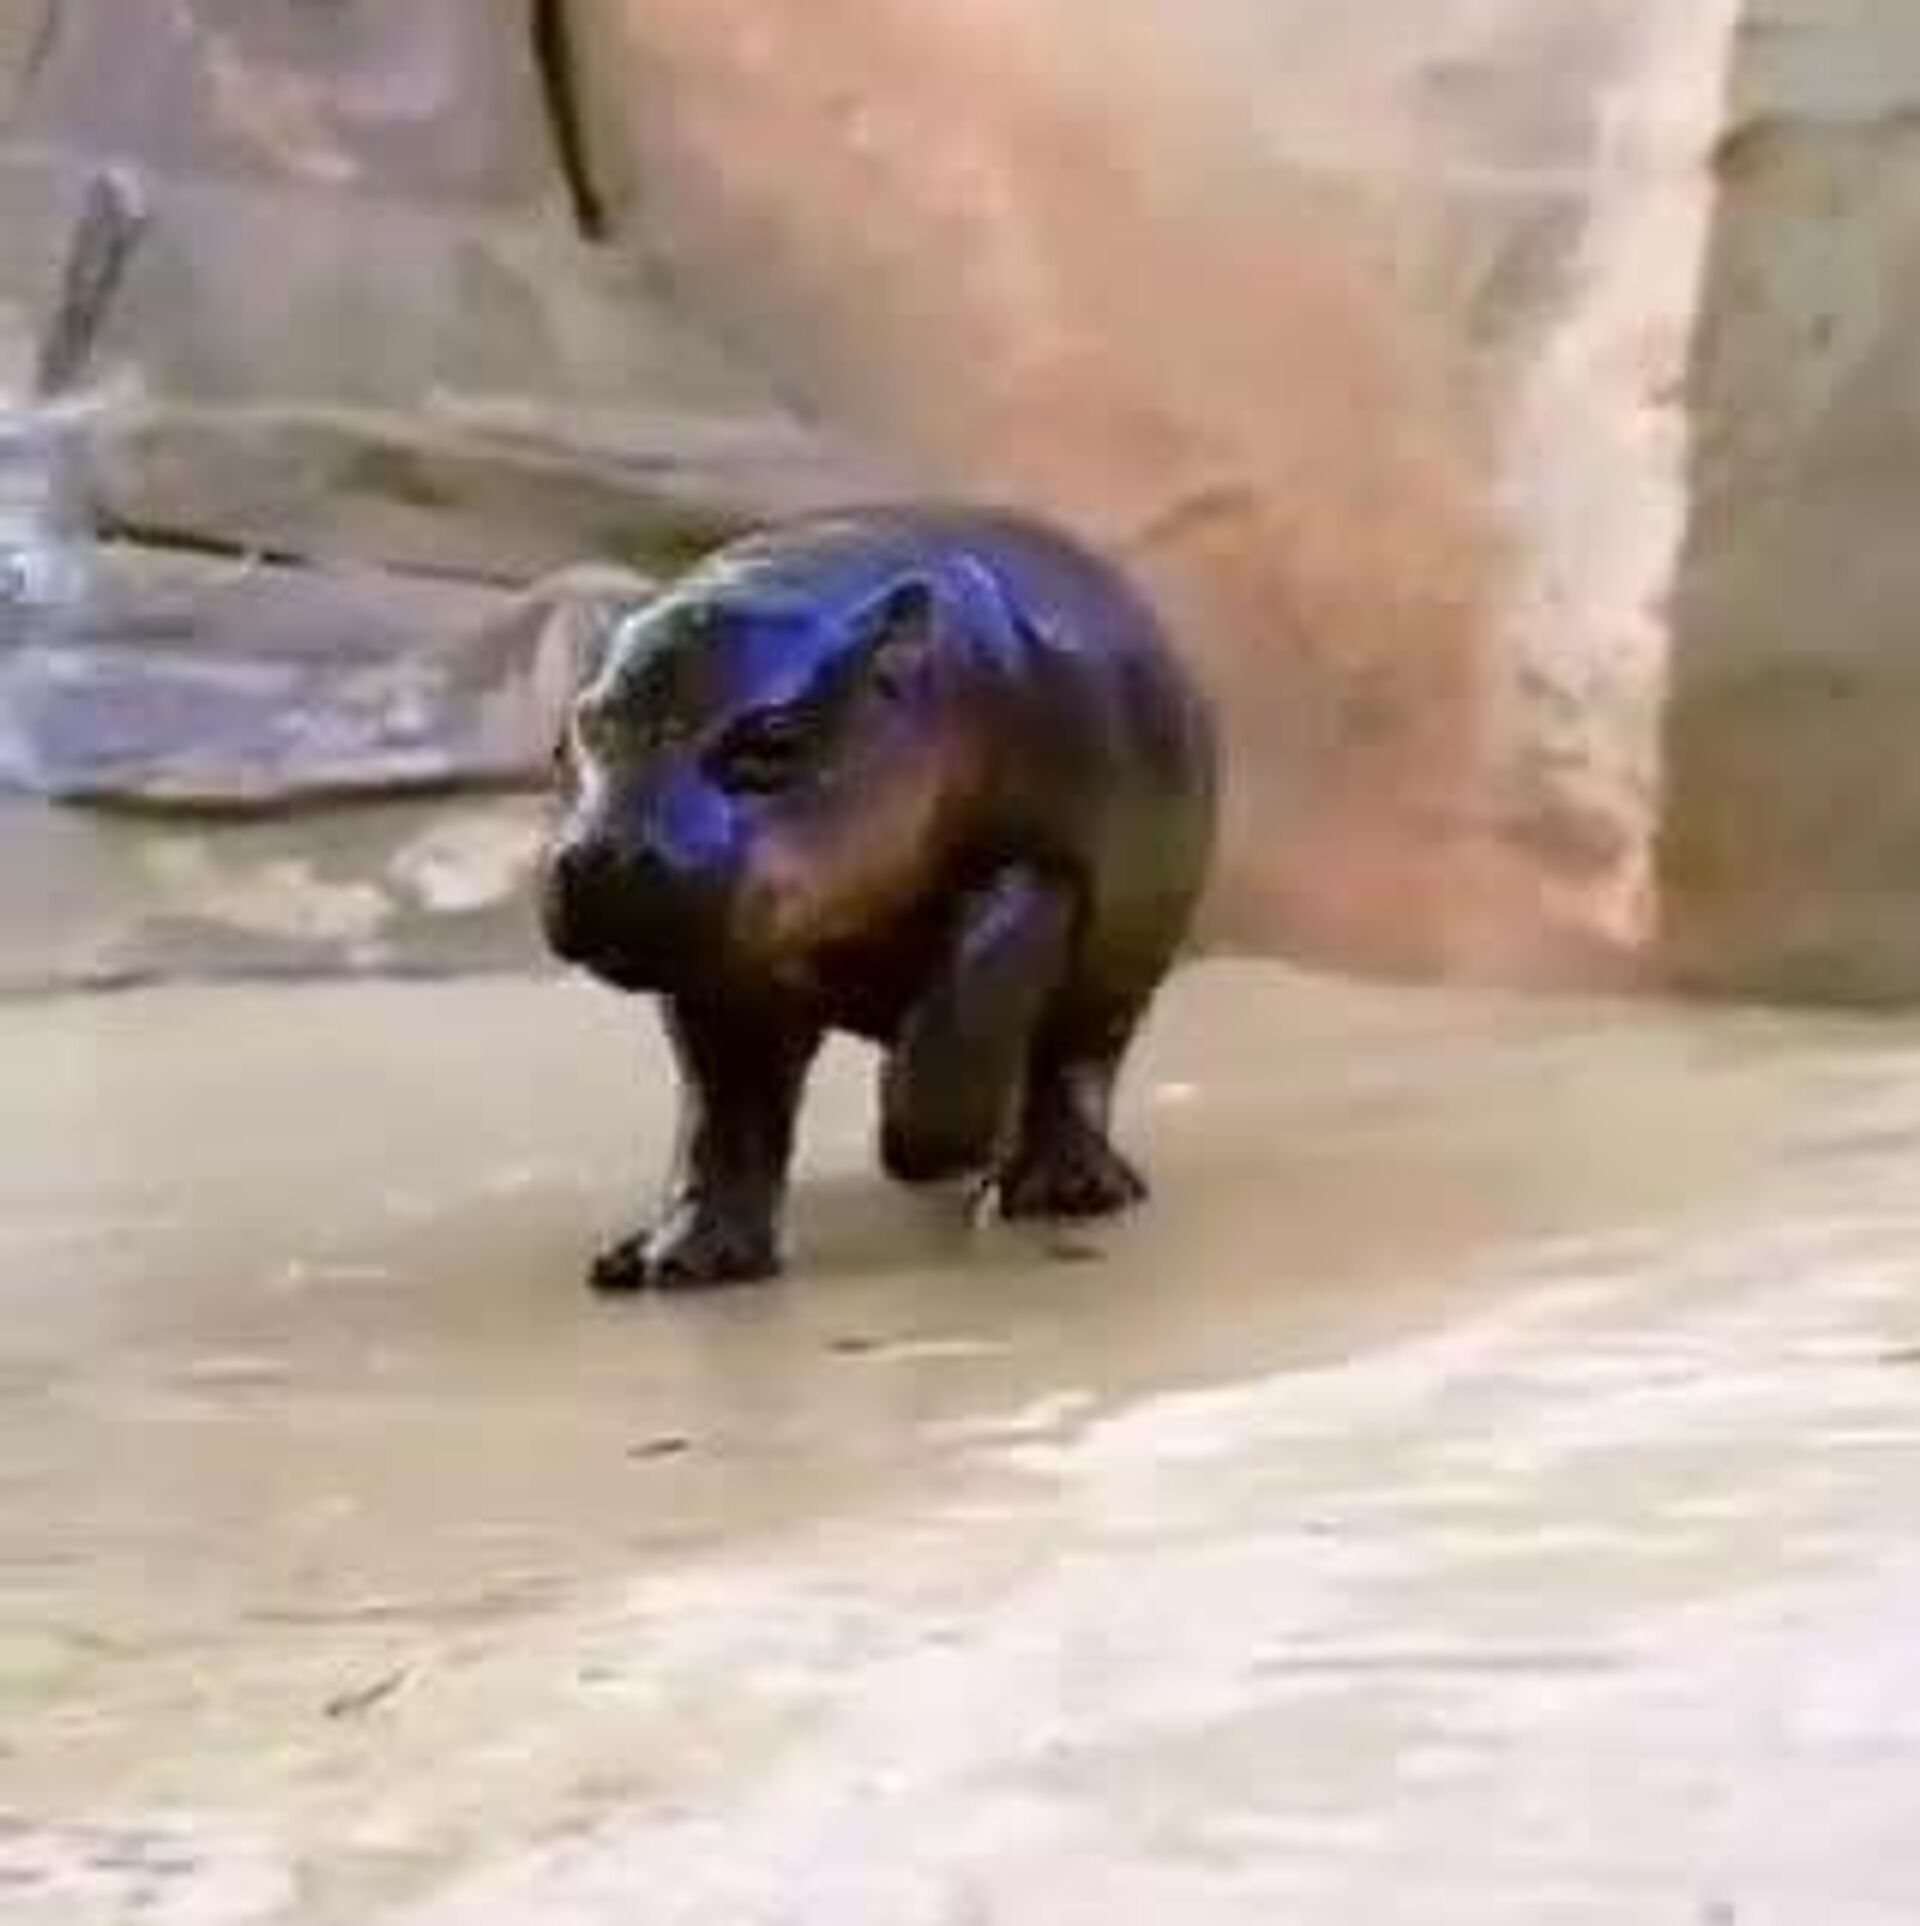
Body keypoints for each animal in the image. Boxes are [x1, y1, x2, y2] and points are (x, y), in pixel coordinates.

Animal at [541, 505, 1217, 1291]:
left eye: (774, 740)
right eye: (573, 732)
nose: (601, 857)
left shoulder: (1045, 869)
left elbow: (974, 990)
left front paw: (945, 1149)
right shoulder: (721, 974)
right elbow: (727, 1111)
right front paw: (678, 1262)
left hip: (1122, 964)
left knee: (1073, 1065)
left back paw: (1063, 1190)